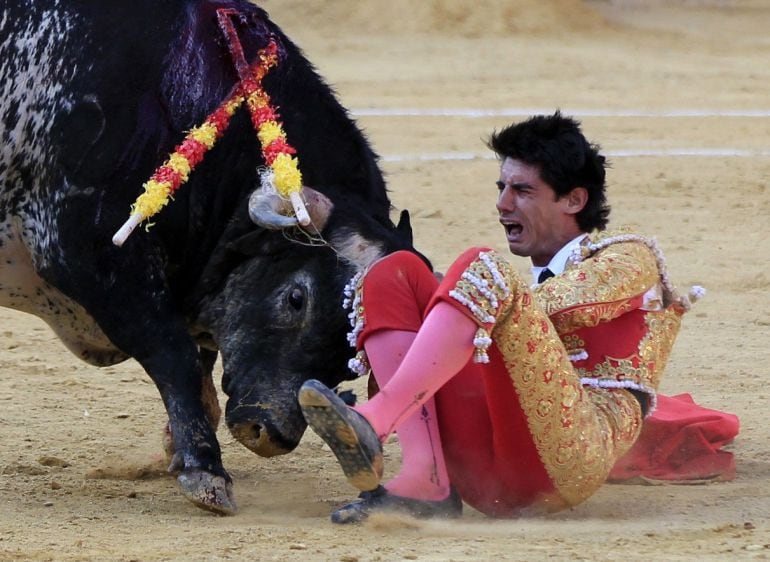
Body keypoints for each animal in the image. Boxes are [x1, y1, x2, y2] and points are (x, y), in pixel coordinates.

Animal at [0, 0, 424, 512]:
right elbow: (175, 353)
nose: (268, 432)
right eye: (296, 299)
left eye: (353, 351)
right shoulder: (86, 254)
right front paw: (205, 471)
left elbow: (200, 368)